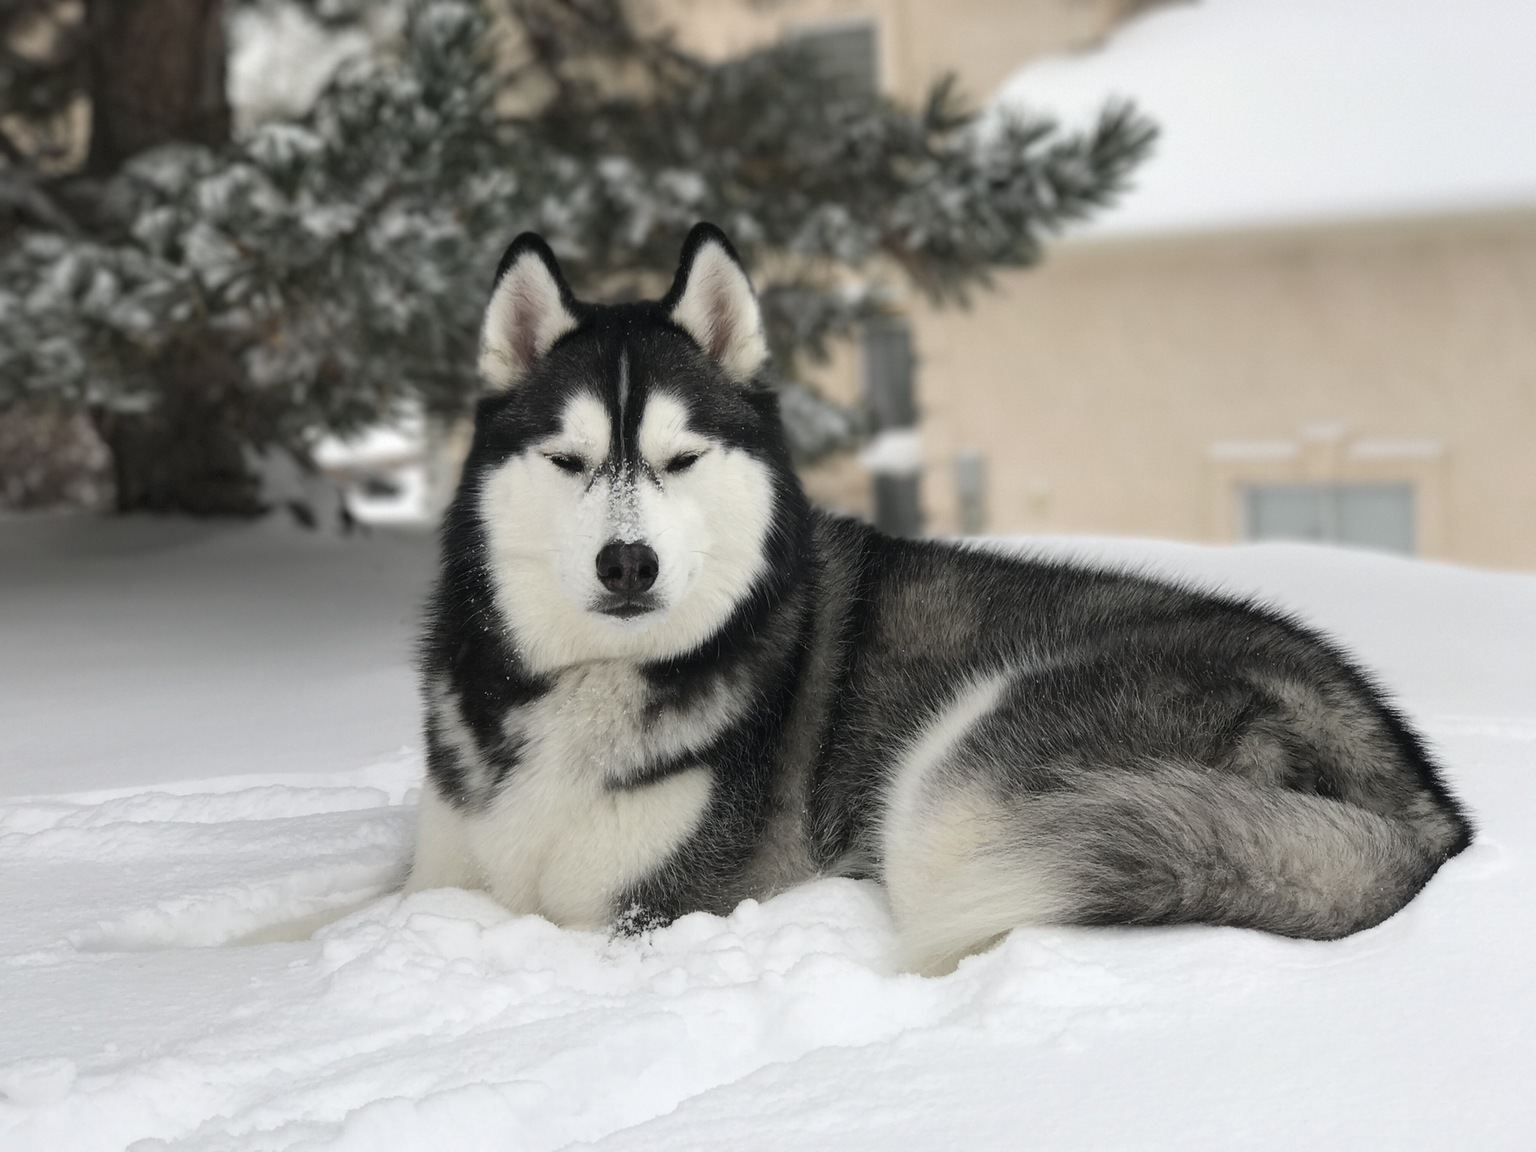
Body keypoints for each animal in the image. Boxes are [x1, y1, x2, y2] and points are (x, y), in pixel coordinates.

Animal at [408, 222, 1474, 976]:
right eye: (567, 459)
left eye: (681, 459)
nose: (627, 564)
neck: (589, 681)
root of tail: (1426, 812)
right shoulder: (447, 872)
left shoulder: (645, 911)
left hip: (957, 783)